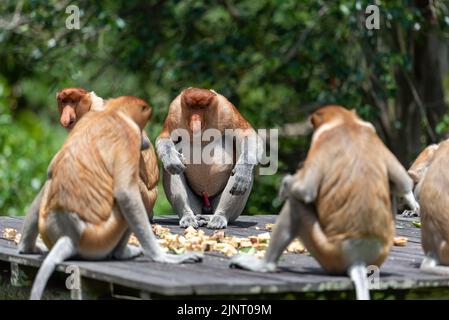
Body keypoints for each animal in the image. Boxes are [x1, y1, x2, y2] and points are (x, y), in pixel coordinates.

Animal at [157, 86, 262, 229]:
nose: (195, 119)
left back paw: (217, 217)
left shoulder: (226, 109)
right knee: (171, 171)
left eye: (202, 107)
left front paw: (243, 171)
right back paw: (189, 217)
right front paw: (172, 161)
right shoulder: (175, 110)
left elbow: (247, 134)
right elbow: (164, 138)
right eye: (192, 107)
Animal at [231, 105, 420, 300]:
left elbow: (306, 191)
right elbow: (404, 182)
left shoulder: (322, 142)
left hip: (328, 252)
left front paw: (286, 186)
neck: (346, 123)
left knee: (296, 205)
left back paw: (263, 265)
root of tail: (357, 257)